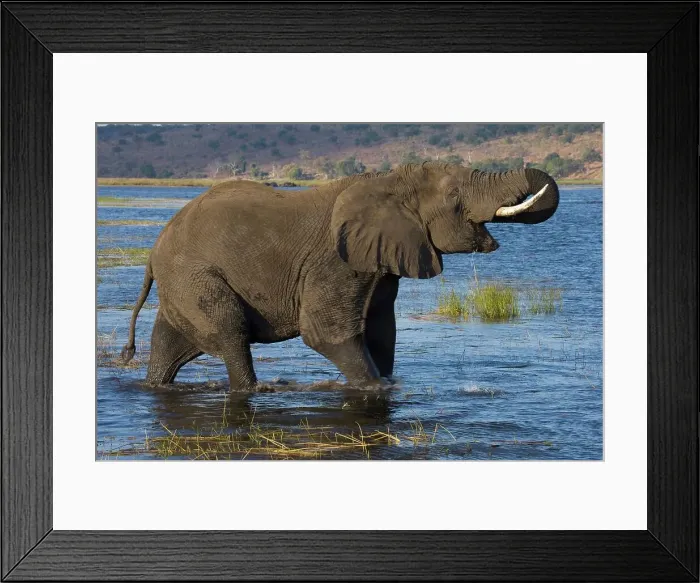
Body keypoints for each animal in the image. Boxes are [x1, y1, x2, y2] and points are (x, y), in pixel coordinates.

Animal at [121, 162, 559, 391]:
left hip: (183, 285)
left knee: (170, 346)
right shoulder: (335, 260)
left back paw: (154, 384)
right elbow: (326, 333)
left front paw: (389, 383)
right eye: (454, 198)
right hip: (195, 277)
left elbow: (382, 332)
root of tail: (154, 253)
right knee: (231, 334)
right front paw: (376, 389)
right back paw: (253, 389)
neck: (388, 181)